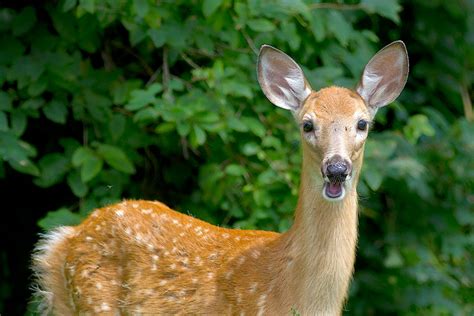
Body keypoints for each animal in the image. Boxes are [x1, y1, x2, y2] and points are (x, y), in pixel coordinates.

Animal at [31, 40, 408, 314]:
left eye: (362, 123)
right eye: (307, 124)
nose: (336, 169)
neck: (293, 295)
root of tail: (63, 240)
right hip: (94, 301)